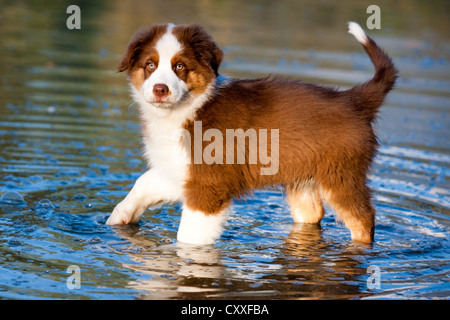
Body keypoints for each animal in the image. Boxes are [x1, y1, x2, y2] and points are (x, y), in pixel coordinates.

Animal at [106, 21, 398, 245]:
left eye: (179, 67)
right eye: (150, 65)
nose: (160, 89)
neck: (190, 108)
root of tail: (352, 100)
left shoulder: (209, 183)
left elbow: (190, 236)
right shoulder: (183, 168)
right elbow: (145, 182)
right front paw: (118, 217)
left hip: (341, 174)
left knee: (363, 218)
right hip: (305, 178)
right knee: (313, 214)